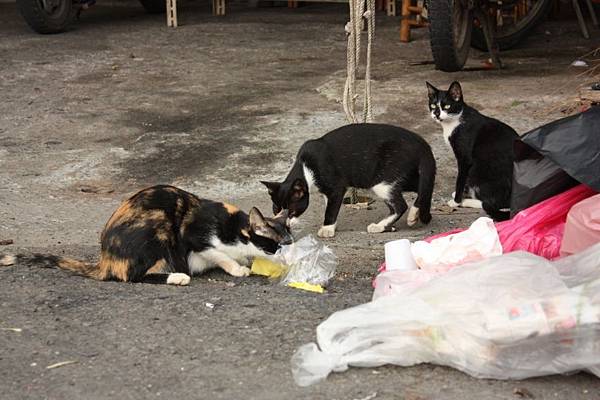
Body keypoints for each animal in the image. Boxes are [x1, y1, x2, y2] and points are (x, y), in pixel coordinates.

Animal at [0, 186, 292, 286]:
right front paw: (237, 268)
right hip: (158, 225)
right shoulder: (193, 235)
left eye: (290, 242)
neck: (236, 230)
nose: (289, 255)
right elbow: (219, 254)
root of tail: (105, 259)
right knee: (131, 276)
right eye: (278, 246)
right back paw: (178, 277)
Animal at [260, 123, 434, 238]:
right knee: (423, 187)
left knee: (400, 205)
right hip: (401, 175)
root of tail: (422, 144)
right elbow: (329, 205)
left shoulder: (336, 186)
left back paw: (379, 226)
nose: (284, 224)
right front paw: (332, 226)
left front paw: (327, 228)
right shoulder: (327, 191)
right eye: (275, 209)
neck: (306, 167)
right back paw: (413, 215)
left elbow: (331, 208)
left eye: (292, 211)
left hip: (384, 178)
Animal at [426, 79, 520, 220]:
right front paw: (462, 193)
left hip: (479, 169)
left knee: (494, 203)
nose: (436, 114)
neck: (455, 121)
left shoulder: (465, 158)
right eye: (432, 105)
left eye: (447, 106)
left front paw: (457, 201)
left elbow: (460, 179)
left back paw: (466, 202)